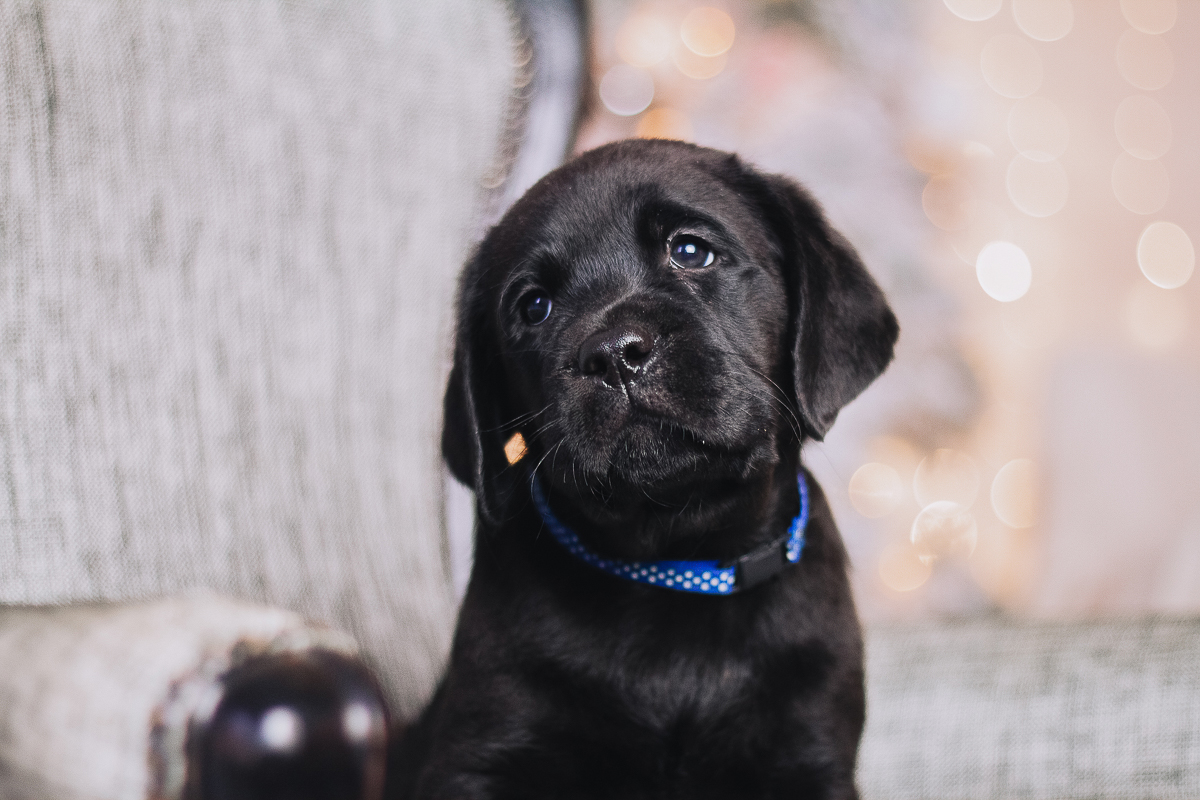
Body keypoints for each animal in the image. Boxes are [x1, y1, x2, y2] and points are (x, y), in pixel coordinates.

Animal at [393, 140, 902, 800]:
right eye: (534, 307)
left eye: (690, 251)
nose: (614, 354)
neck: (676, 564)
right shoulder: (483, 753)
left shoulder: (809, 755)